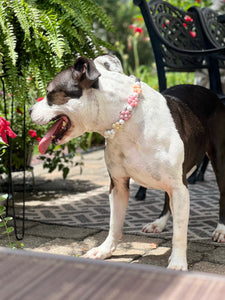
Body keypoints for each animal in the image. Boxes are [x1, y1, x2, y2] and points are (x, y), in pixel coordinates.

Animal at [29, 55, 225, 270]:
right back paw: (159, 223)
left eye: (49, 93)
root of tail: (211, 93)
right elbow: (115, 222)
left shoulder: (179, 188)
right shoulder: (118, 184)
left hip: (219, 162)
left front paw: (178, 262)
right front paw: (105, 250)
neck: (126, 122)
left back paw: (221, 230)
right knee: (167, 198)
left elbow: (180, 231)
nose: (29, 109)